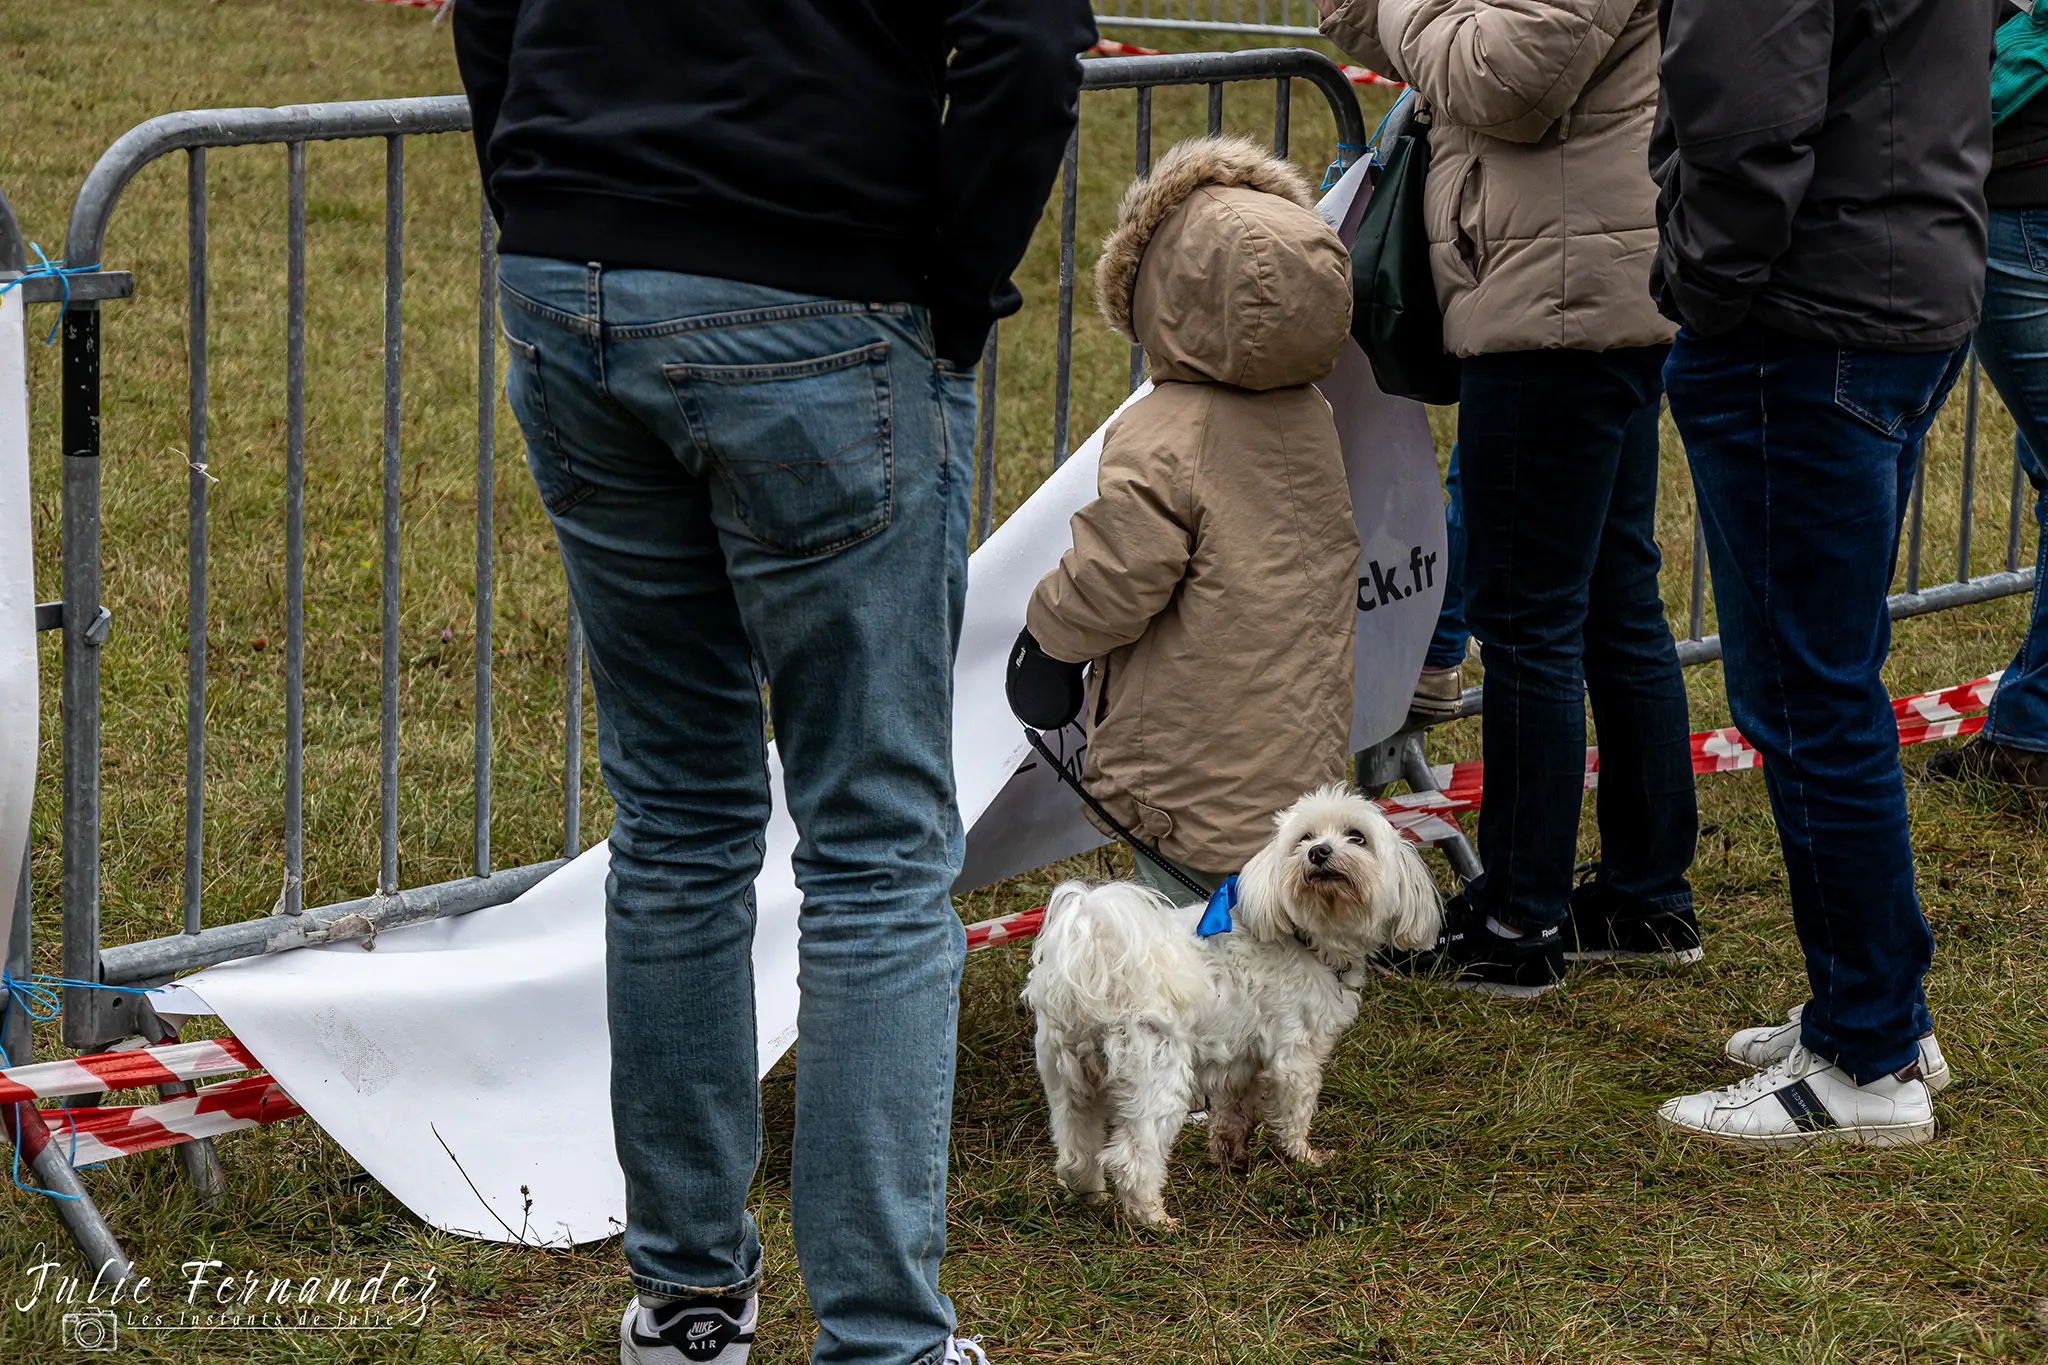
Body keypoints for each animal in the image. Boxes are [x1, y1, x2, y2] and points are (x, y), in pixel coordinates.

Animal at [1019, 785, 1441, 1236]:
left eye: (1357, 837)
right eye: (1305, 838)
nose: (1319, 852)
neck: (1303, 936)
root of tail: (1091, 959)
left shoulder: (1242, 1060)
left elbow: (1234, 1112)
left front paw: (1231, 1155)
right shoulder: (1295, 1058)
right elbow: (1294, 1111)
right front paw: (1304, 1157)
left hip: (1069, 1082)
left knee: (1075, 1152)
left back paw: (1089, 1199)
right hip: (1155, 1080)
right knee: (1132, 1158)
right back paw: (1154, 1220)